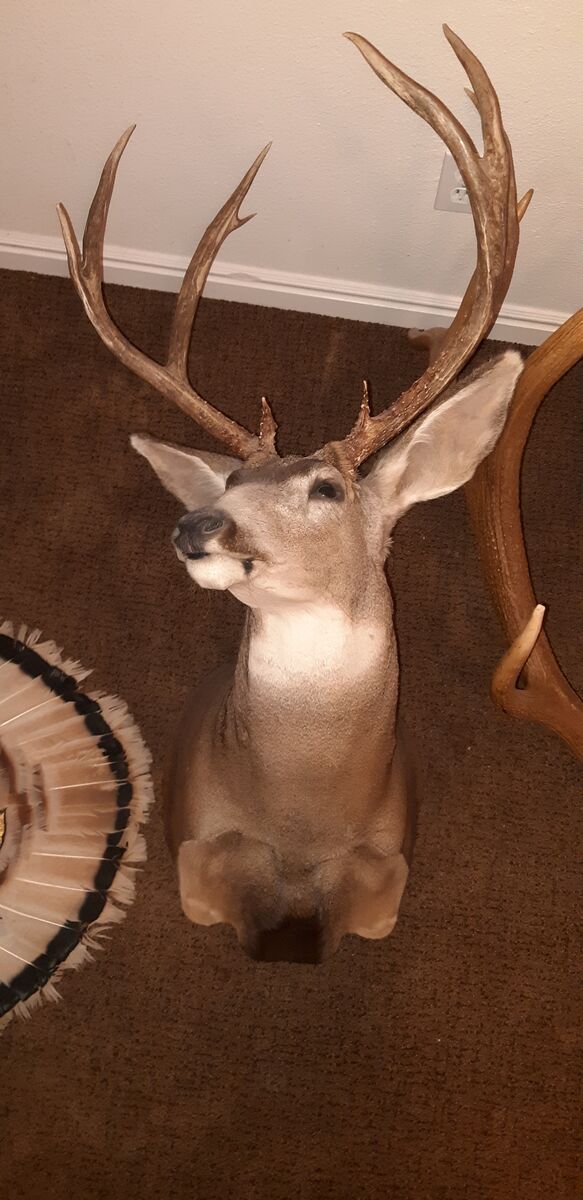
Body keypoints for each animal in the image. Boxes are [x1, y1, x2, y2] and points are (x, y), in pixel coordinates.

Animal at [57, 26, 583, 963]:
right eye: (231, 477)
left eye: (328, 487)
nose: (197, 523)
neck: (302, 814)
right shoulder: (195, 842)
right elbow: (220, 906)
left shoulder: (389, 857)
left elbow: (360, 919)